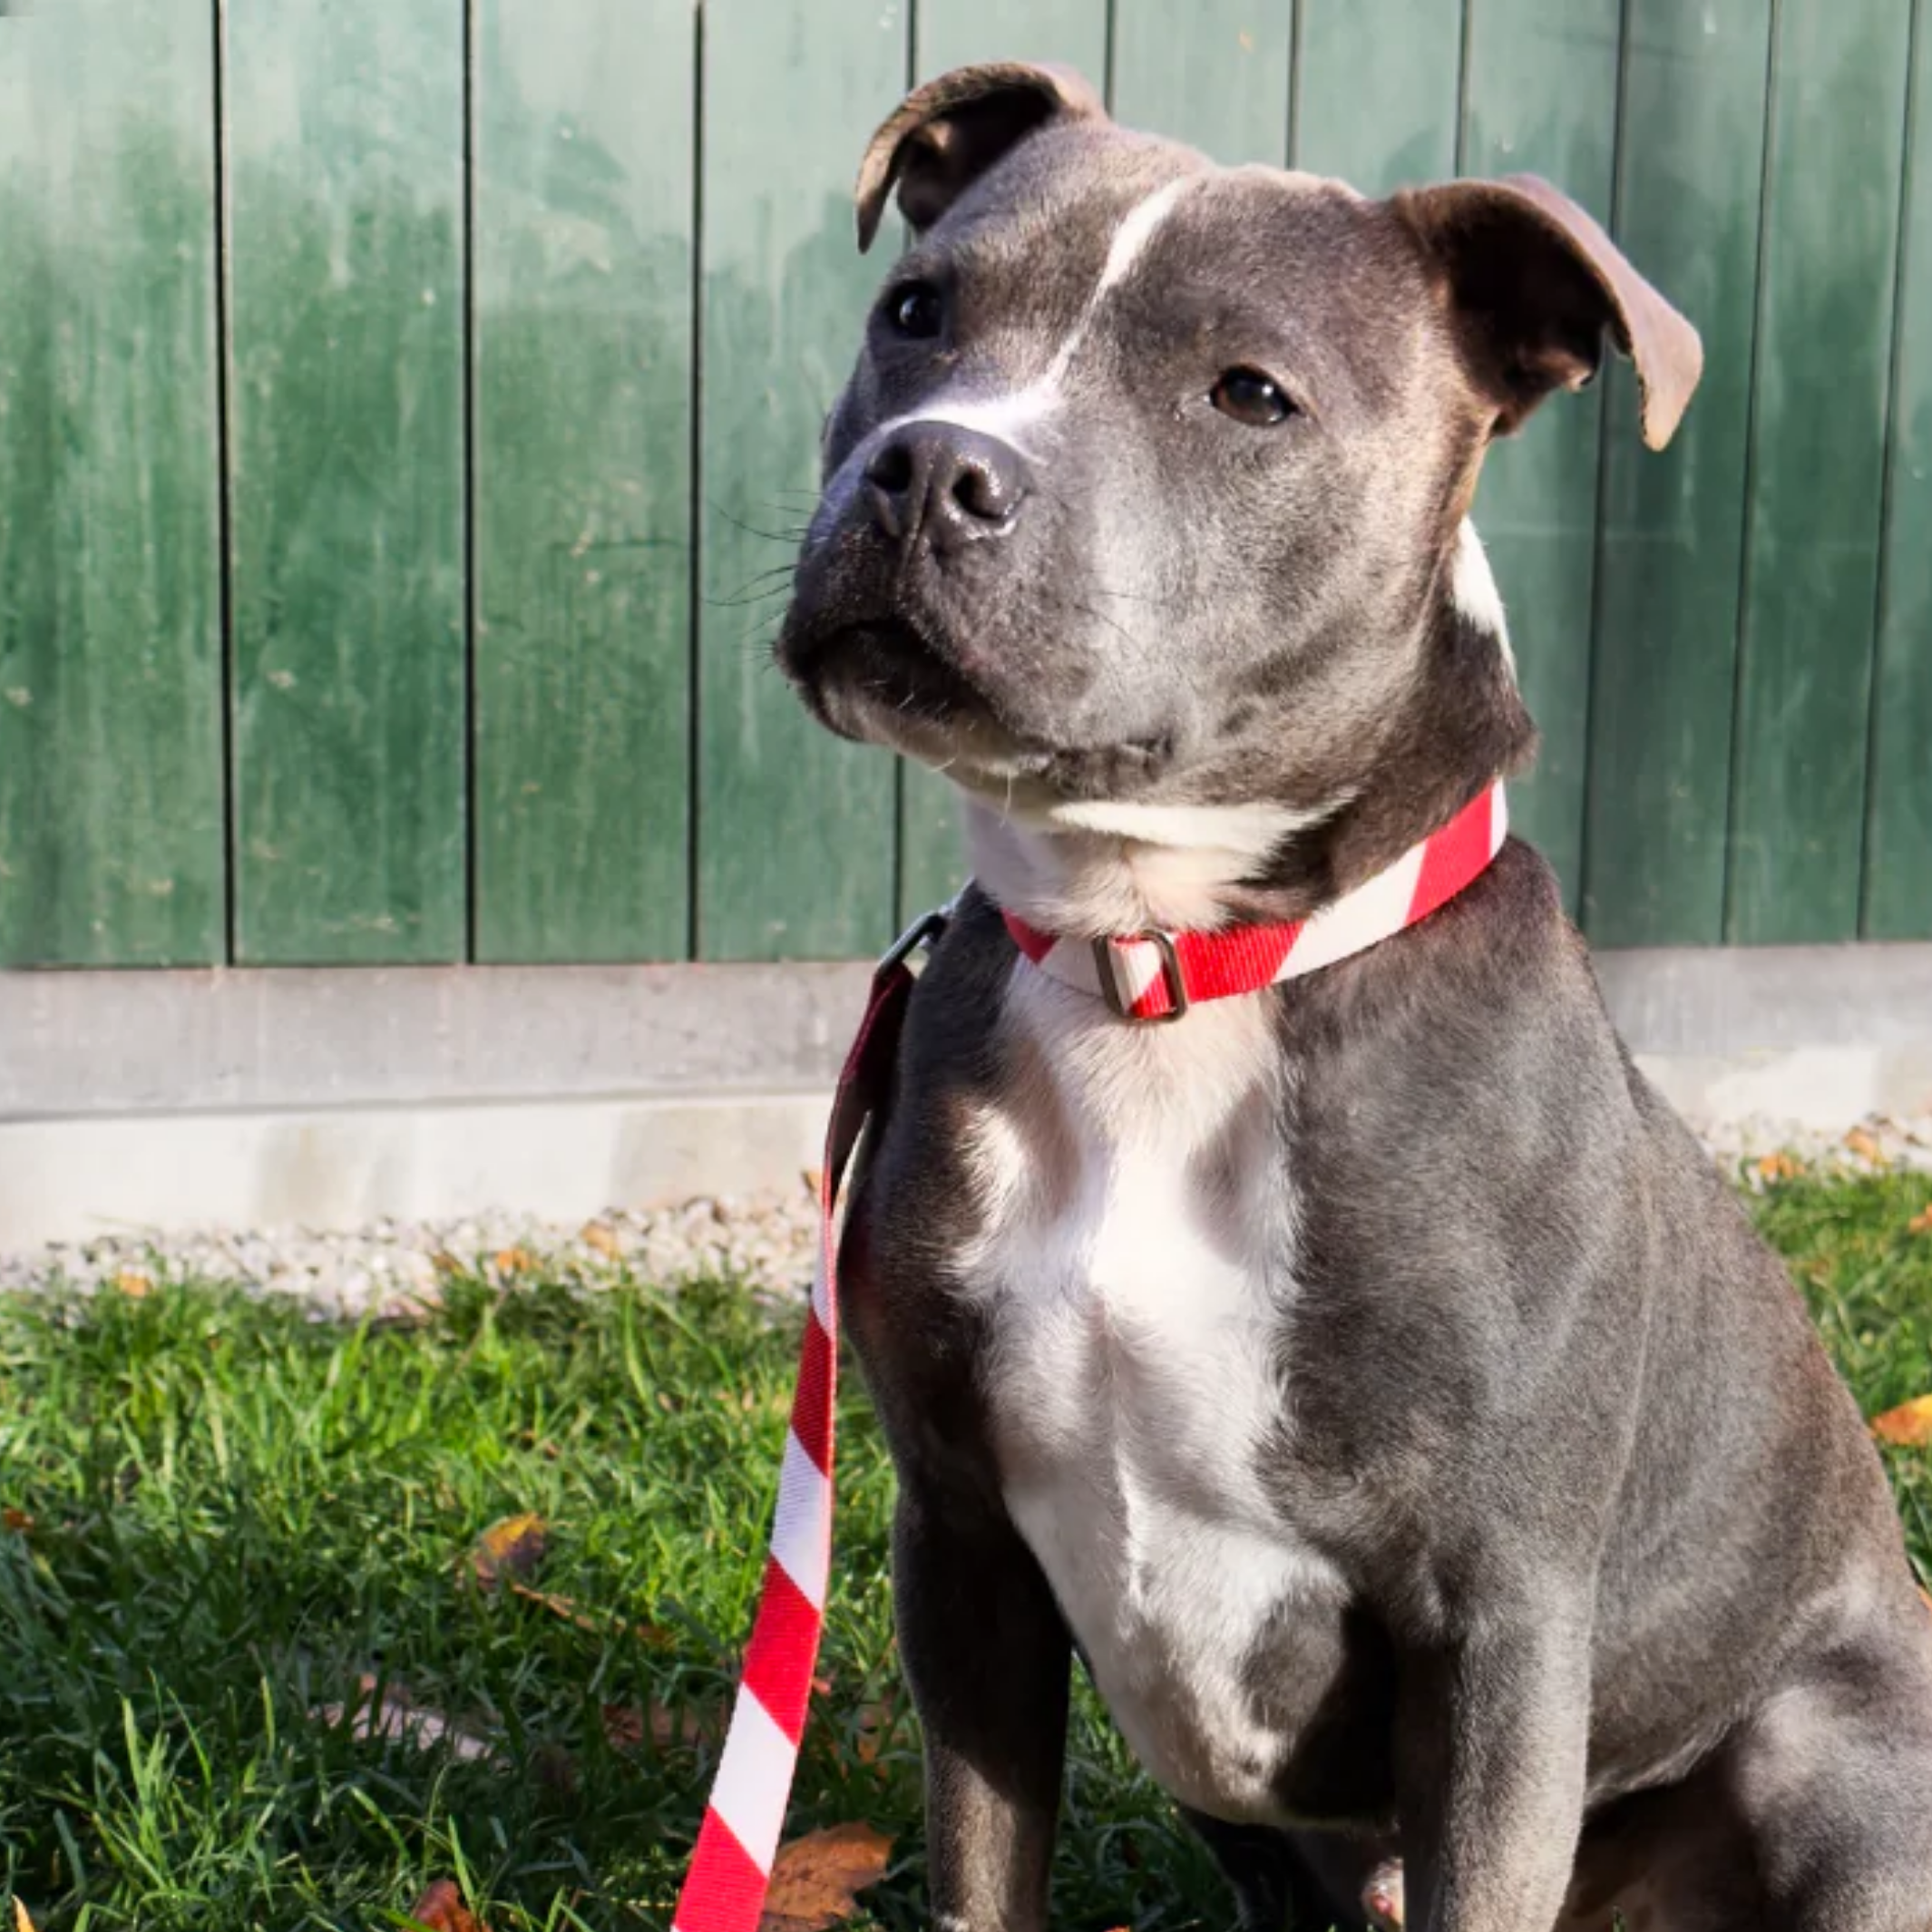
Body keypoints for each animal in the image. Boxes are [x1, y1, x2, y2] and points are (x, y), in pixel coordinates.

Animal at [768, 60, 1932, 1932]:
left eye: (1252, 394)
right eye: (917, 311)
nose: (931, 467)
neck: (1163, 967)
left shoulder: (1499, 1627)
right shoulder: (960, 1547)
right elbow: (983, 1868)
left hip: (1829, 1756)